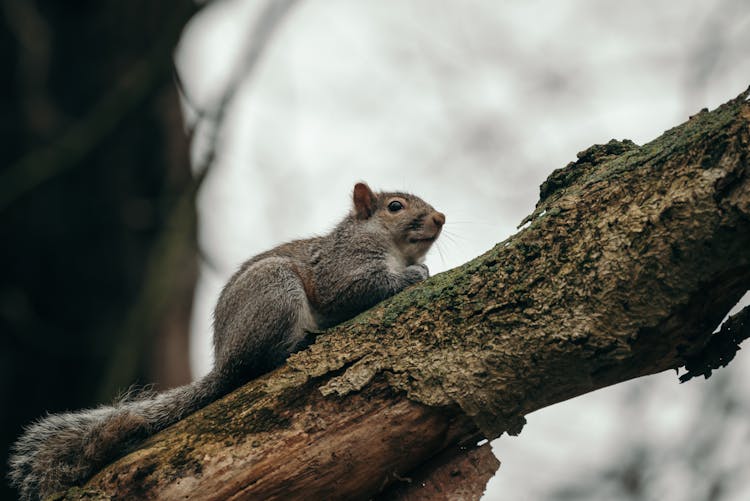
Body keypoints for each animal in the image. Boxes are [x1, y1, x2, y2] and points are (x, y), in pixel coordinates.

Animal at [8, 182, 446, 498]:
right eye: (395, 206)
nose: (441, 217)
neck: (387, 246)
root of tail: (224, 360)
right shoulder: (340, 270)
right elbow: (352, 291)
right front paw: (413, 275)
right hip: (274, 289)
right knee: (259, 362)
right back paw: (298, 344)